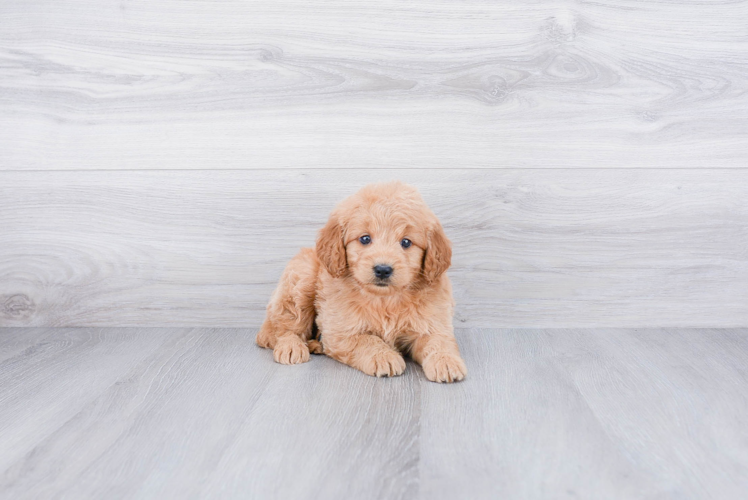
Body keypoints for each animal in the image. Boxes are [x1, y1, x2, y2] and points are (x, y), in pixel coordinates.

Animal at [258, 182, 468, 380]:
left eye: (406, 242)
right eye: (365, 239)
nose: (383, 269)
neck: (385, 300)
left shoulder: (432, 323)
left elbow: (438, 341)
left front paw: (446, 361)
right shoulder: (341, 330)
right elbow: (367, 340)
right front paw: (384, 356)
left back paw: (316, 344)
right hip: (301, 280)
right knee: (285, 327)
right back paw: (292, 347)